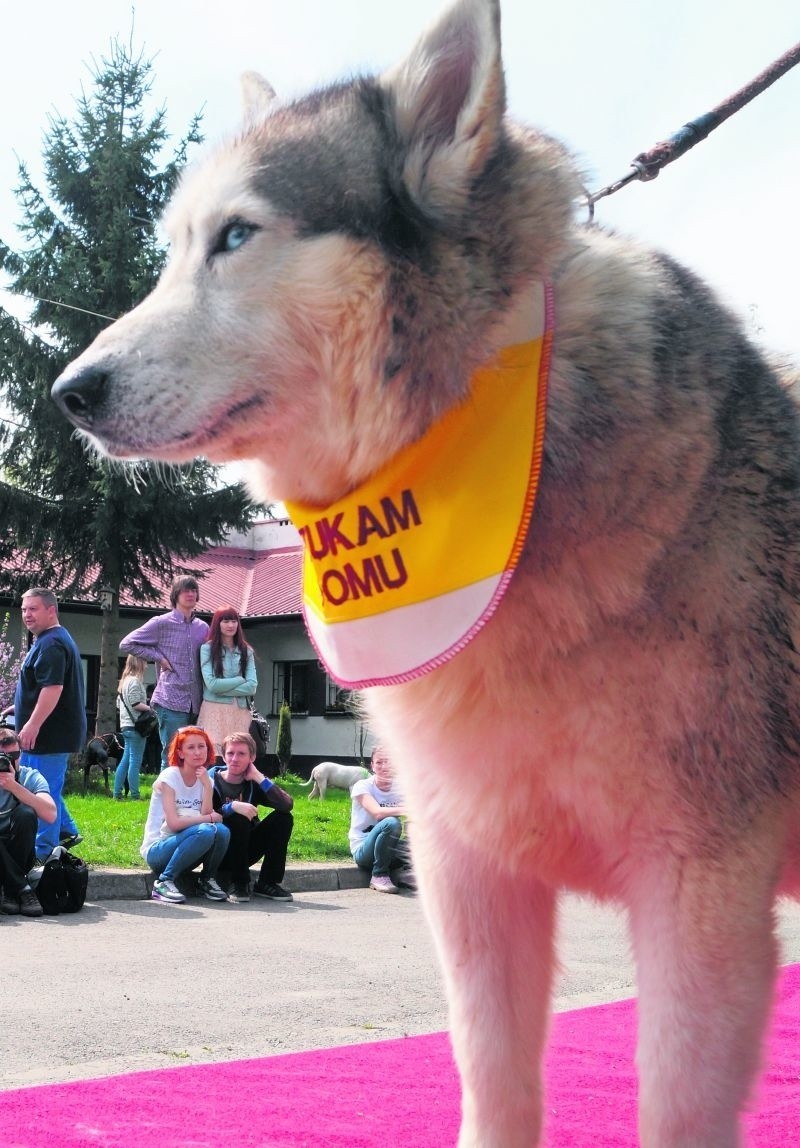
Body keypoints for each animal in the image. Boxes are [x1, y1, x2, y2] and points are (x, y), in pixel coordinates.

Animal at [51, 2, 798, 1148]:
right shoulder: (469, 870)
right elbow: (492, 1078)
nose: (67, 392)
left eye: (237, 236)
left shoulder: (700, 893)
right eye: (175, 250)